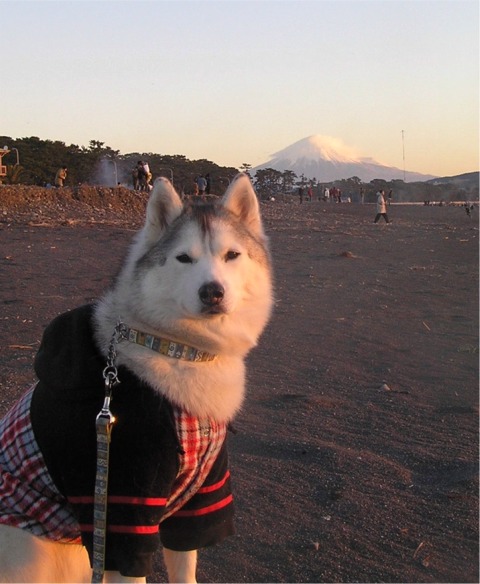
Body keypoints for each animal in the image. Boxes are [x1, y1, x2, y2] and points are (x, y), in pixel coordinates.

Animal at [0, 175, 274, 584]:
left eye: (232, 255)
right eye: (183, 258)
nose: (212, 292)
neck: (175, 348)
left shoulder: (200, 500)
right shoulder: (123, 511)